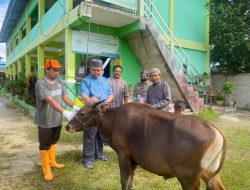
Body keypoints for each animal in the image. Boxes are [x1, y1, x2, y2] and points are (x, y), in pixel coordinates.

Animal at [65, 102, 226, 190]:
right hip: (210, 174)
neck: (114, 120)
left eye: (82, 113)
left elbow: (124, 180)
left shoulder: (123, 154)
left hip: (188, 178)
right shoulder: (134, 159)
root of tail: (213, 128)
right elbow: (131, 179)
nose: (67, 126)